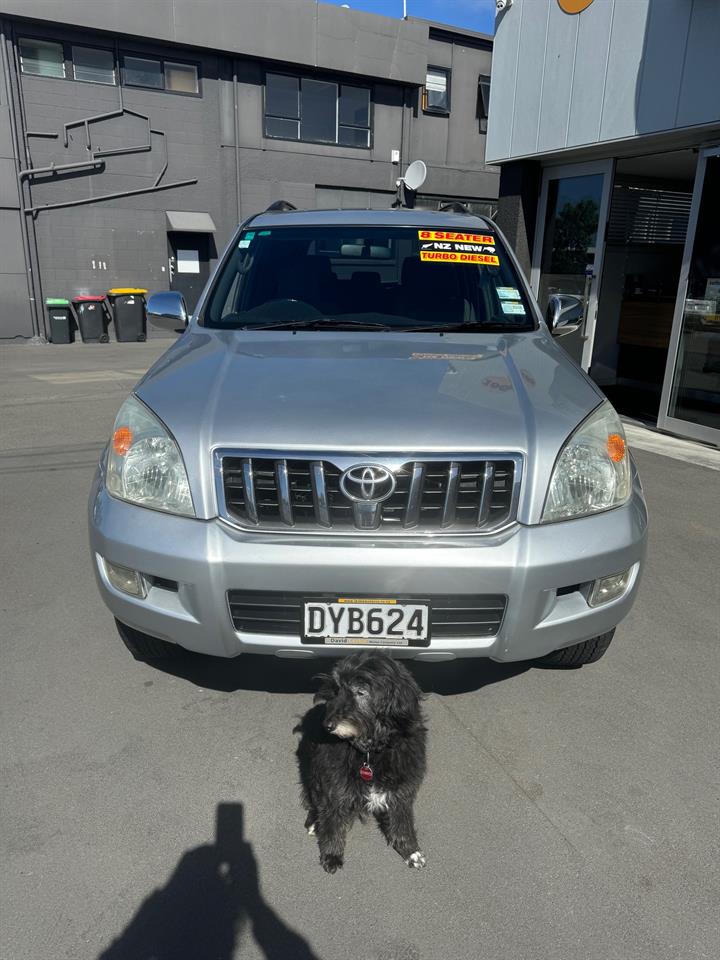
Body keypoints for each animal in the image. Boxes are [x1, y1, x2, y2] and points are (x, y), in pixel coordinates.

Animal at [294, 648, 424, 872]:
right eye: (337, 690)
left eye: (360, 691)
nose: (327, 725)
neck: (370, 751)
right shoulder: (335, 785)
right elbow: (333, 821)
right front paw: (332, 855)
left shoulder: (402, 787)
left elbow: (402, 820)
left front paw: (410, 851)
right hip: (313, 771)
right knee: (314, 798)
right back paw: (313, 822)